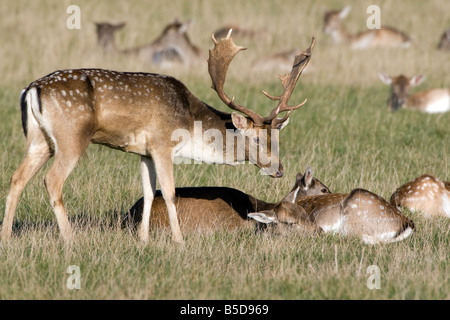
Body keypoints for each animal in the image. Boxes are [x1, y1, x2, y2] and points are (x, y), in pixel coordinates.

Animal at [1, 30, 314, 245]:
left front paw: (143, 239)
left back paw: (6, 236)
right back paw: (70, 239)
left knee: (17, 178)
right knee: (52, 180)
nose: (279, 170)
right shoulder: (163, 144)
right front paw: (179, 240)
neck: (189, 124)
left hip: (40, 141)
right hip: (71, 138)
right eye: (258, 139)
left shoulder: (144, 151)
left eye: (277, 138)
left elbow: (150, 192)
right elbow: (170, 193)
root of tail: (31, 89)